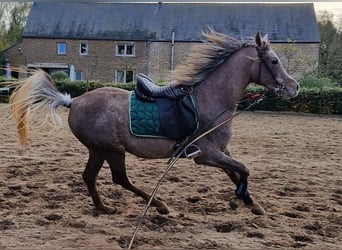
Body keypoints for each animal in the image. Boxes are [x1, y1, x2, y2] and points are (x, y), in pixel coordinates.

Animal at [9, 29, 298, 217]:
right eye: (274, 61)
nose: (294, 87)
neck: (211, 99)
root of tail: (75, 101)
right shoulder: (206, 155)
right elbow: (243, 170)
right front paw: (240, 202)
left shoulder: (221, 151)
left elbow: (235, 172)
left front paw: (250, 203)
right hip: (111, 150)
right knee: (119, 179)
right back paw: (158, 205)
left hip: (98, 150)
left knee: (90, 177)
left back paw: (103, 207)